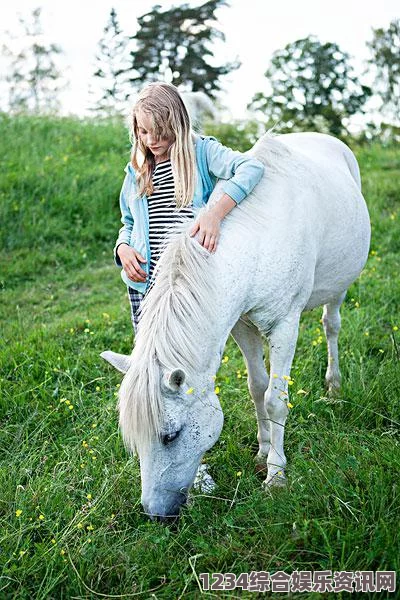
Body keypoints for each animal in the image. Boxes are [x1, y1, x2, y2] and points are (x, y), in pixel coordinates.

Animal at [101, 131, 370, 520]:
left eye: (170, 435)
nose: (155, 514)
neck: (259, 239)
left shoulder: (285, 325)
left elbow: (276, 400)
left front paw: (276, 476)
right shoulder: (241, 325)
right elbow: (257, 388)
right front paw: (262, 452)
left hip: (338, 289)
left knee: (331, 326)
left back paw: (333, 386)